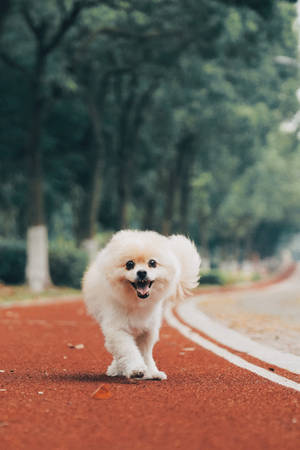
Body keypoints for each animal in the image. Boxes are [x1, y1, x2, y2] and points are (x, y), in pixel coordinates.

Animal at [82, 230, 200, 382]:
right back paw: (117, 368)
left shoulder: (147, 331)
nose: (142, 272)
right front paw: (136, 369)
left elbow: (145, 354)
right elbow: (128, 350)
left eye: (152, 263)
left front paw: (150, 372)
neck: (137, 303)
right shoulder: (117, 330)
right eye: (129, 264)